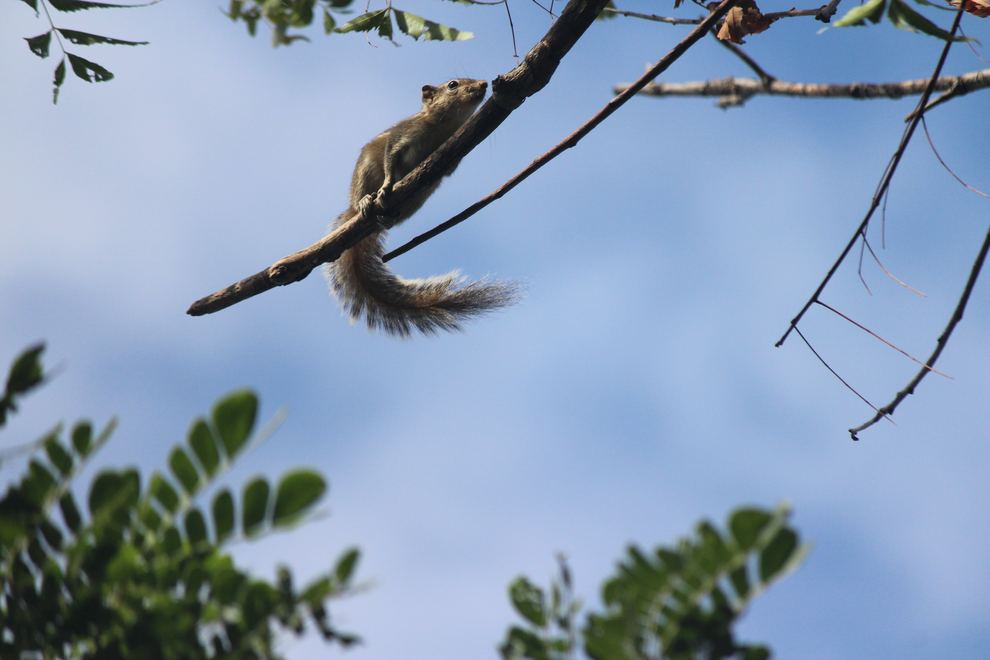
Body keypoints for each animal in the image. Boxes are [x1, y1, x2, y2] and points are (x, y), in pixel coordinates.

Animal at [325, 77, 518, 336]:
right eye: (453, 84)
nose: (484, 84)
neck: (443, 127)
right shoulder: (402, 134)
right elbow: (390, 159)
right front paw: (387, 185)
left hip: (416, 200)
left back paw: (388, 217)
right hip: (364, 173)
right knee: (360, 199)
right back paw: (366, 201)